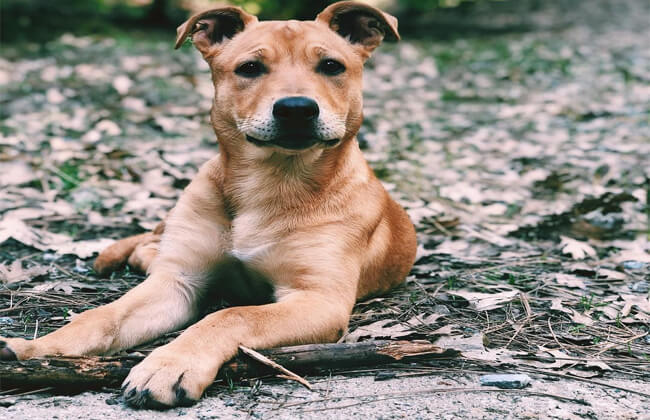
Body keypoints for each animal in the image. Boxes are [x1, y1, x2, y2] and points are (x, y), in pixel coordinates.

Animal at [0, 1, 416, 408]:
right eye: (250, 68)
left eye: (331, 66)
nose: (296, 108)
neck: (271, 183)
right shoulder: (176, 283)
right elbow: (102, 317)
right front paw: (36, 348)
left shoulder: (319, 300)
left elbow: (232, 316)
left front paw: (170, 364)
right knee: (150, 244)